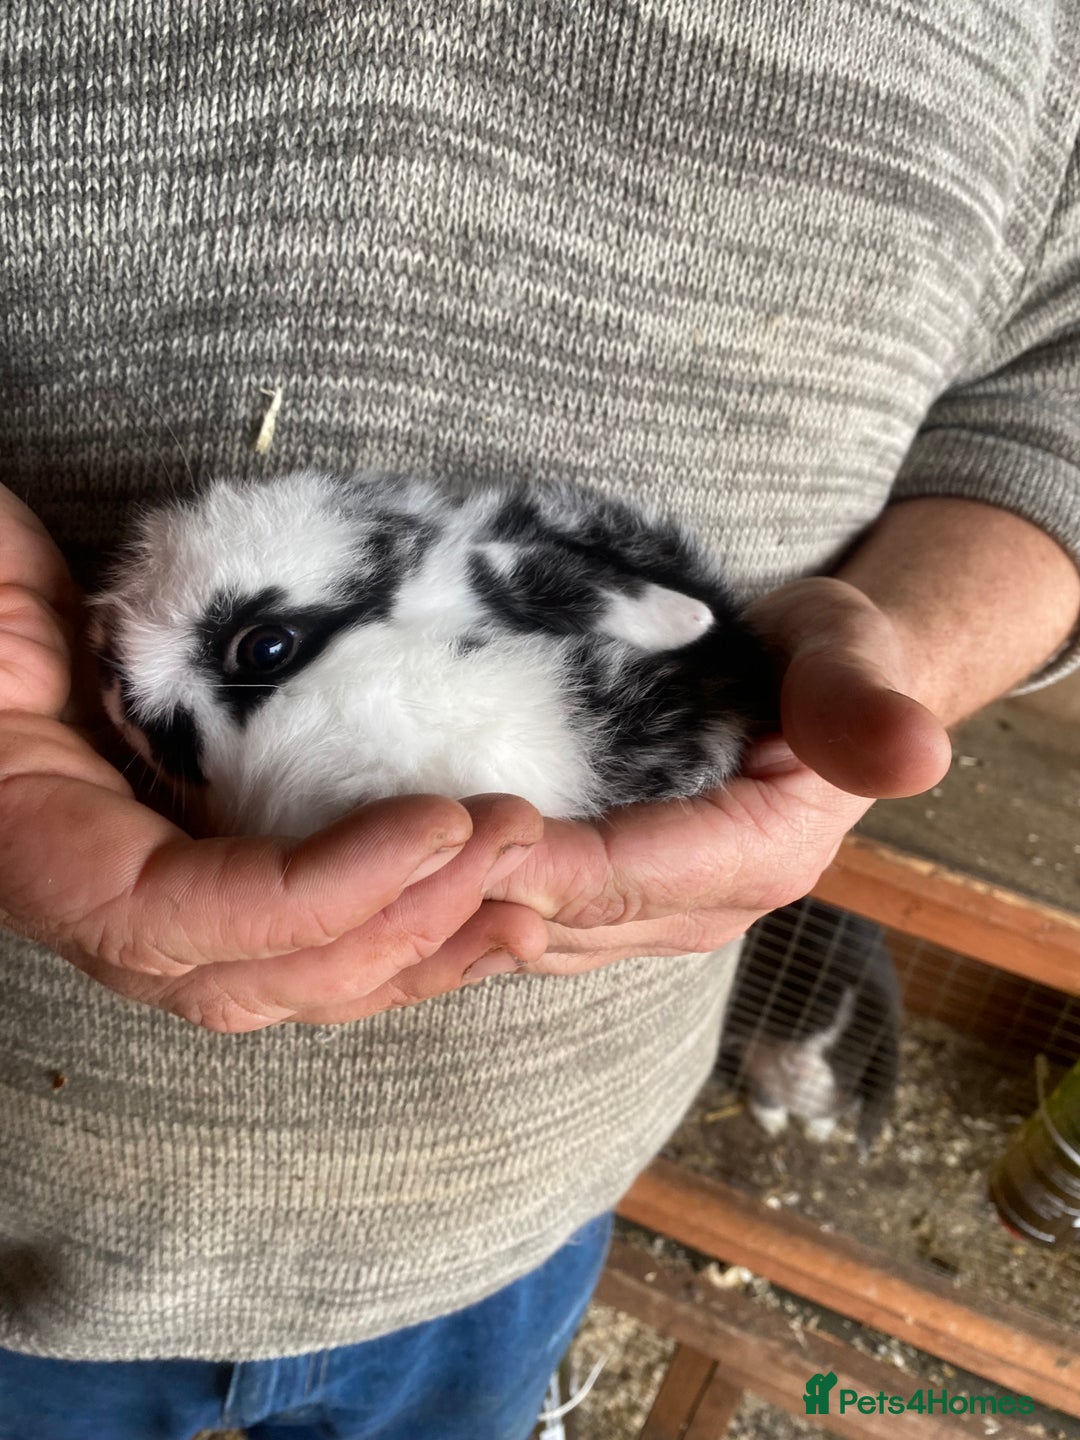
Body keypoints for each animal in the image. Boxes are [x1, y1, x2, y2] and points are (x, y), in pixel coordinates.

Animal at [716, 898, 901, 1153]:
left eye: (844, 1054)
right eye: (806, 1019)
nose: (799, 1064)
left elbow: (830, 1114)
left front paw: (816, 1134)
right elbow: (765, 1096)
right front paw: (774, 1124)